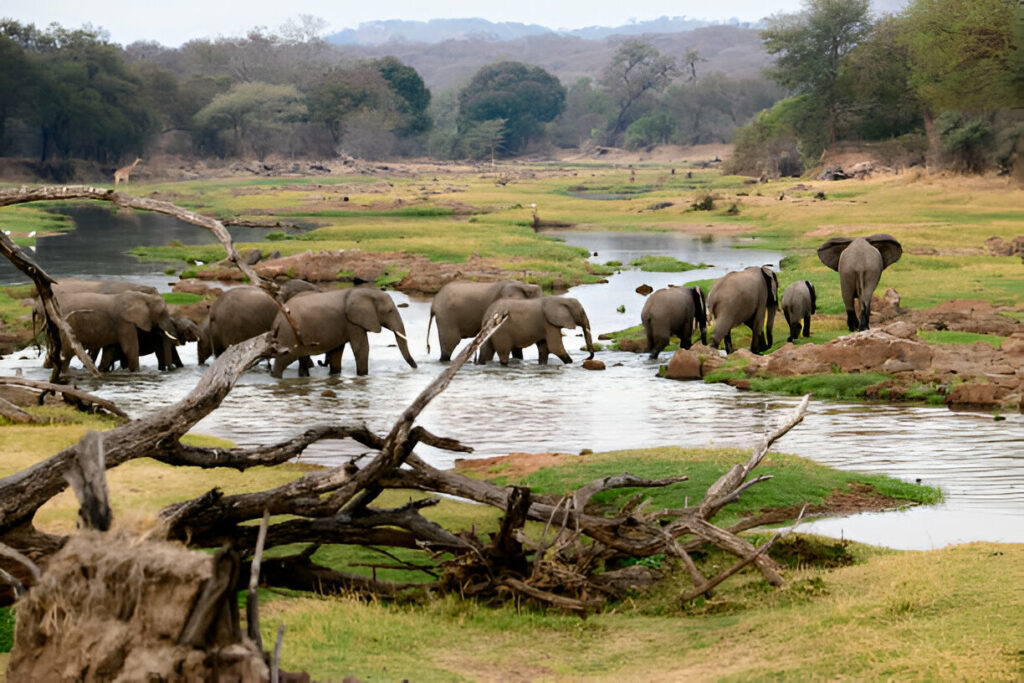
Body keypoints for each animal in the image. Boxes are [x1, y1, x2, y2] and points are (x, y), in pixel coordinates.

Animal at [270, 287, 416, 377]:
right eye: (390, 311)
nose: (415, 368)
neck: (364, 291)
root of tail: (277, 317)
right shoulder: (353, 322)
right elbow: (361, 348)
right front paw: (363, 376)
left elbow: (337, 351)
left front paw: (335, 376)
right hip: (287, 334)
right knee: (283, 360)